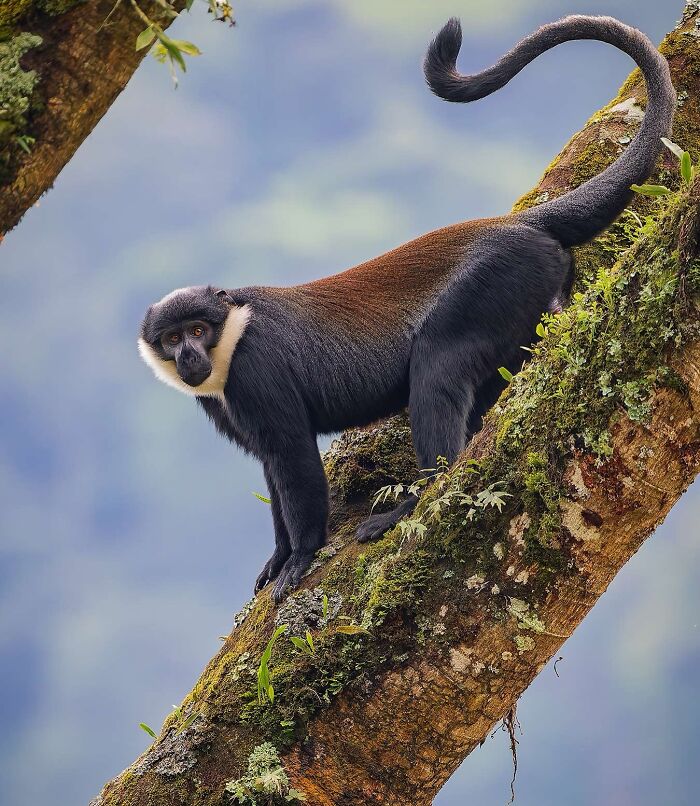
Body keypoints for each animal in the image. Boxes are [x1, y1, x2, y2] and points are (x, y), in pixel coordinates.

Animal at [138, 15, 675, 602]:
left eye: (197, 329)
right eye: (171, 339)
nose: (189, 357)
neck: (232, 332)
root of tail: (518, 224)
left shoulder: (259, 373)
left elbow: (293, 461)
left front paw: (298, 559)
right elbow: (271, 473)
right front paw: (277, 556)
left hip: (491, 288)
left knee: (437, 368)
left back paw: (413, 502)